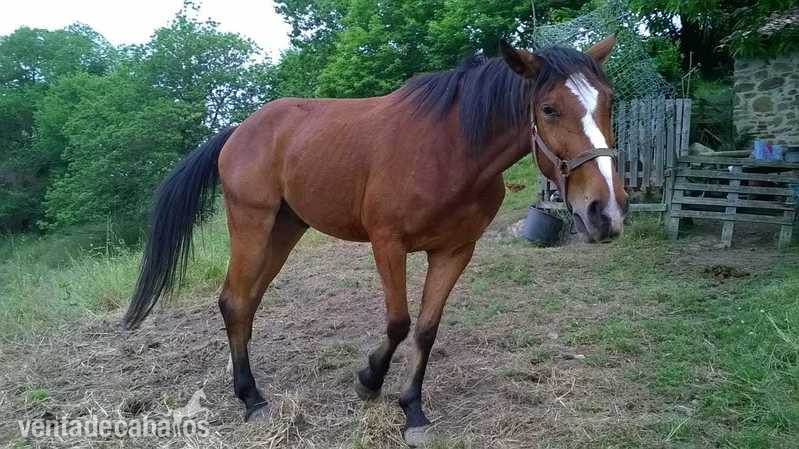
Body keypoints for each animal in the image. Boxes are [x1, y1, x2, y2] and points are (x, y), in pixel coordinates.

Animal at [123, 35, 627, 446]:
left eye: (608, 102)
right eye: (549, 109)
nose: (606, 211)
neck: (449, 150)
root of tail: (239, 130)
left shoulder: (455, 252)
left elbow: (426, 329)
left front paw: (413, 411)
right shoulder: (388, 245)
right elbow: (398, 323)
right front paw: (369, 380)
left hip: (285, 229)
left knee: (246, 301)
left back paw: (241, 382)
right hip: (251, 224)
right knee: (234, 299)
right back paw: (251, 399)